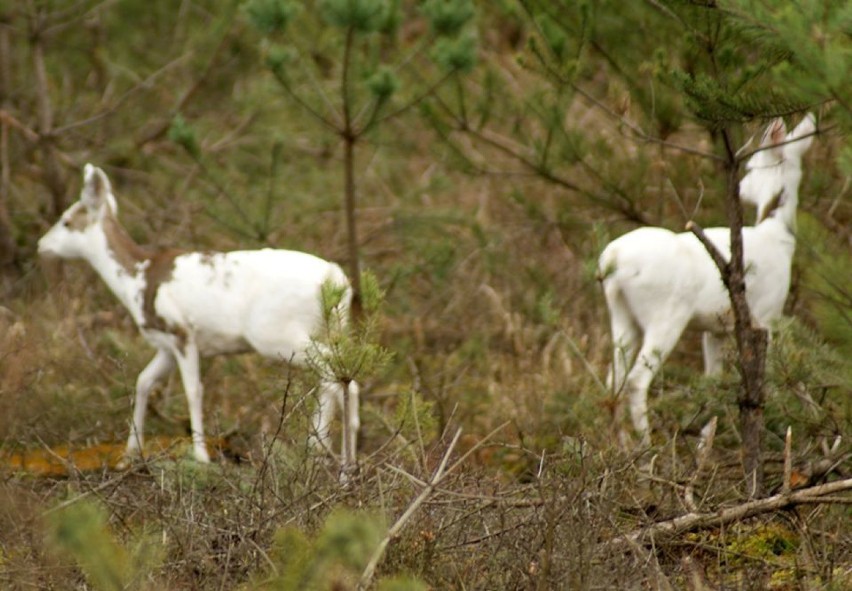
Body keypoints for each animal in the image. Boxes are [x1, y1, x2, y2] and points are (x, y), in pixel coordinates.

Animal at [39, 164, 360, 470]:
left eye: (66, 221)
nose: (41, 245)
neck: (137, 279)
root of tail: (336, 278)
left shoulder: (181, 332)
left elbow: (193, 390)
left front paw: (201, 456)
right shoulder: (166, 346)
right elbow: (143, 382)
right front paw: (128, 455)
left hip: (277, 334)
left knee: (335, 378)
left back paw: (324, 453)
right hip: (328, 329)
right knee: (340, 379)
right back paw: (336, 462)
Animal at [596, 112, 816, 444]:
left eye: (752, 166)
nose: (740, 188)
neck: (778, 237)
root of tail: (612, 258)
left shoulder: (716, 329)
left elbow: (713, 381)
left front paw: (704, 444)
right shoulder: (767, 315)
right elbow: (784, 375)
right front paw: (812, 421)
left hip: (623, 314)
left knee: (615, 380)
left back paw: (621, 444)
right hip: (666, 313)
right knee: (636, 380)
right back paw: (648, 447)